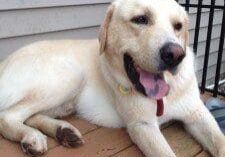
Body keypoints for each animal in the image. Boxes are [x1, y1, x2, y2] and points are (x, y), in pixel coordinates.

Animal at [0, 0, 225, 156]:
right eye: (140, 19)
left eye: (178, 26)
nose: (175, 55)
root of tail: (4, 61)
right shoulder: (142, 125)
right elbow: (165, 153)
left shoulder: (197, 113)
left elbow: (220, 141)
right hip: (68, 77)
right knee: (8, 116)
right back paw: (32, 137)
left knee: (31, 115)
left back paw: (63, 131)